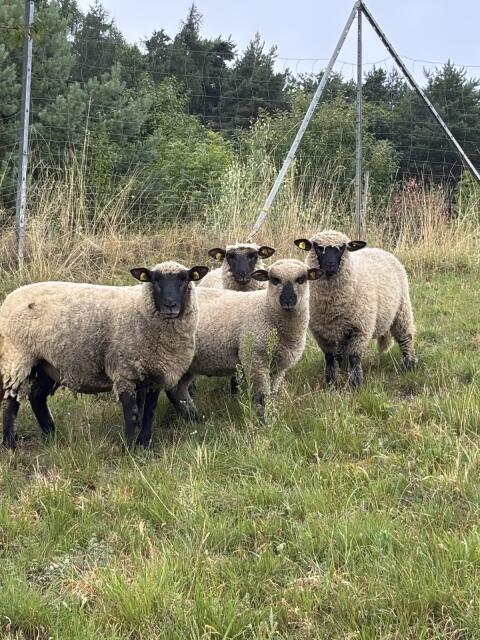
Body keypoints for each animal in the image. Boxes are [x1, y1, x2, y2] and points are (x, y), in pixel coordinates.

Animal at [0, 261, 208, 450]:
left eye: (185, 280)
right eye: (155, 280)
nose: (170, 305)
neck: (140, 308)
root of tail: (11, 296)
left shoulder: (153, 375)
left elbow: (149, 411)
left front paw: (144, 444)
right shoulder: (125, 371)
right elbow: (132, 414)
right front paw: (130, 449)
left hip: (47, 363)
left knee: (37, 396)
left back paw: (52, 434)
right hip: (18, 357)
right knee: (11, 402)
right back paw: (11, 444)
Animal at [166, 259, 322, 418]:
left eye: (301, 279)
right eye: (275, 280)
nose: (288, 301)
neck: (266, 310)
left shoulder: (278, 367)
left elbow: (272, 395)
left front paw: (271, 416)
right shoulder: (255, 359)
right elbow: (263, 397)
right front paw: (264, 421)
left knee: (177, 390)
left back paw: (193, 417)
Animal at [294, 230, 417, 386]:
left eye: (342, 248)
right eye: (317, 247)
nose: (330, 265)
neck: (332, 304)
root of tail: (379, 250)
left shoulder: (360, 328)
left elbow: (354, 356)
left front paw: (356, 383)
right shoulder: (321, 332)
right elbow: (329, 357)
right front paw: (330, 382)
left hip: (402, 307)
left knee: (405, 337)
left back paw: (410, 364)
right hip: (342, 328)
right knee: (340, 350)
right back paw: (341, 367)